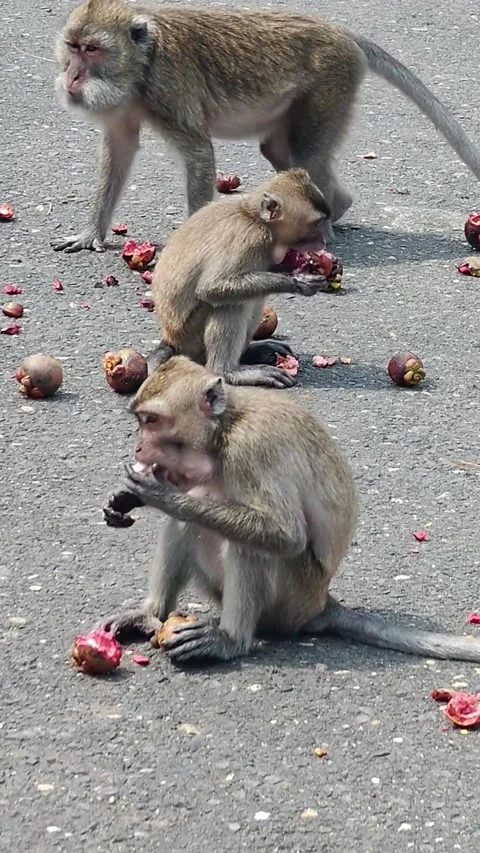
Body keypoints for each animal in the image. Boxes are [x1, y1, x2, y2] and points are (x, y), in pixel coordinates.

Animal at [51, 1, 480, 254]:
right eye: (73, 47)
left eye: (93, 50)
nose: (72, 78)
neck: (142, 62)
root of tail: (340, 32)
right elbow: (120, 148)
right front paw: (91, 234)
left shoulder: (167, 89)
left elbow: (198, 152)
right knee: (279, 151)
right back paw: (335, 210)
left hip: (332, 83)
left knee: (308, 154)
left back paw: (327, 221)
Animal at [96, 355, 480, 665]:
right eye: (140, 420)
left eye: (152, 420)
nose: (139, 447)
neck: (225, 428)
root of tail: (321, 602)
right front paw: (127, 497)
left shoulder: (251, 449)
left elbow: (285, 534)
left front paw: (162, 496)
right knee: (190, 524)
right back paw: (151, 615)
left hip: (293, 597)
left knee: (249, 545)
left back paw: (229, 640)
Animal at [146, 168, 332, 389]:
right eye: (317, 223)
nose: (324, 241)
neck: (254, 216)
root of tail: (171, 340)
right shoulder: (250, 238)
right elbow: (211, 288)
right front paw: (299, 282)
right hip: (190, 337)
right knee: (230, 304)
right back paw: (228, 371)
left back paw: (251, 352)